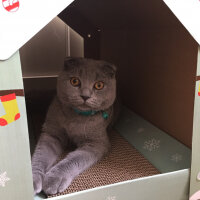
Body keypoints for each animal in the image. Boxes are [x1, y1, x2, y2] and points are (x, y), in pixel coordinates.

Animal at [31, 57, 117, 195]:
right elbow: (41, 155)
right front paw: (31, 180)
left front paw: (53, 179)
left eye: (99, 85)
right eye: (74, 81)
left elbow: (74, 159)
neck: (76, 118)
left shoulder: (96, 143)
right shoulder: (52, 133)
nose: (85, 96)